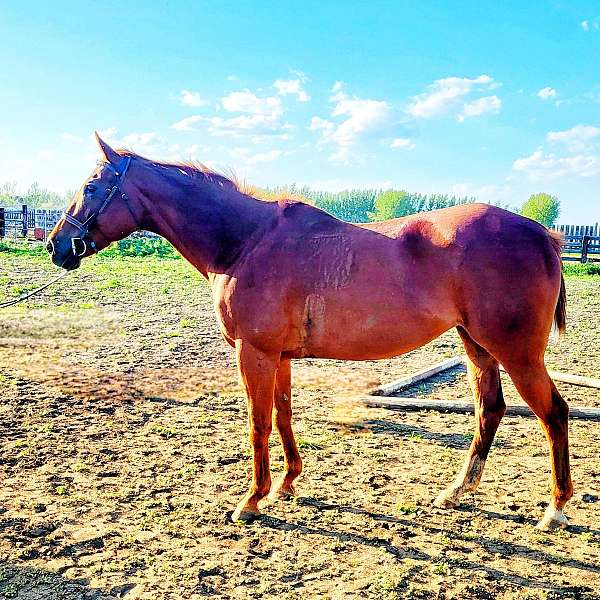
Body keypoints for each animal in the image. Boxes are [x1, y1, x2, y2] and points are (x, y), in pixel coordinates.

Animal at [48, 136, 572, 528]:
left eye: (92, 187)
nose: (58, 245)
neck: (246, 241)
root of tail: (543, 235)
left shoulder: (254, 353)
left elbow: (258, 423)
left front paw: (251, 500)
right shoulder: (278, 357)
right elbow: (282, 417)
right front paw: (286, 485)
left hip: (517, 353)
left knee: (553, 413)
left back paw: (555, 508)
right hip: (476, 344)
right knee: (490, 409)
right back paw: (458, 491)